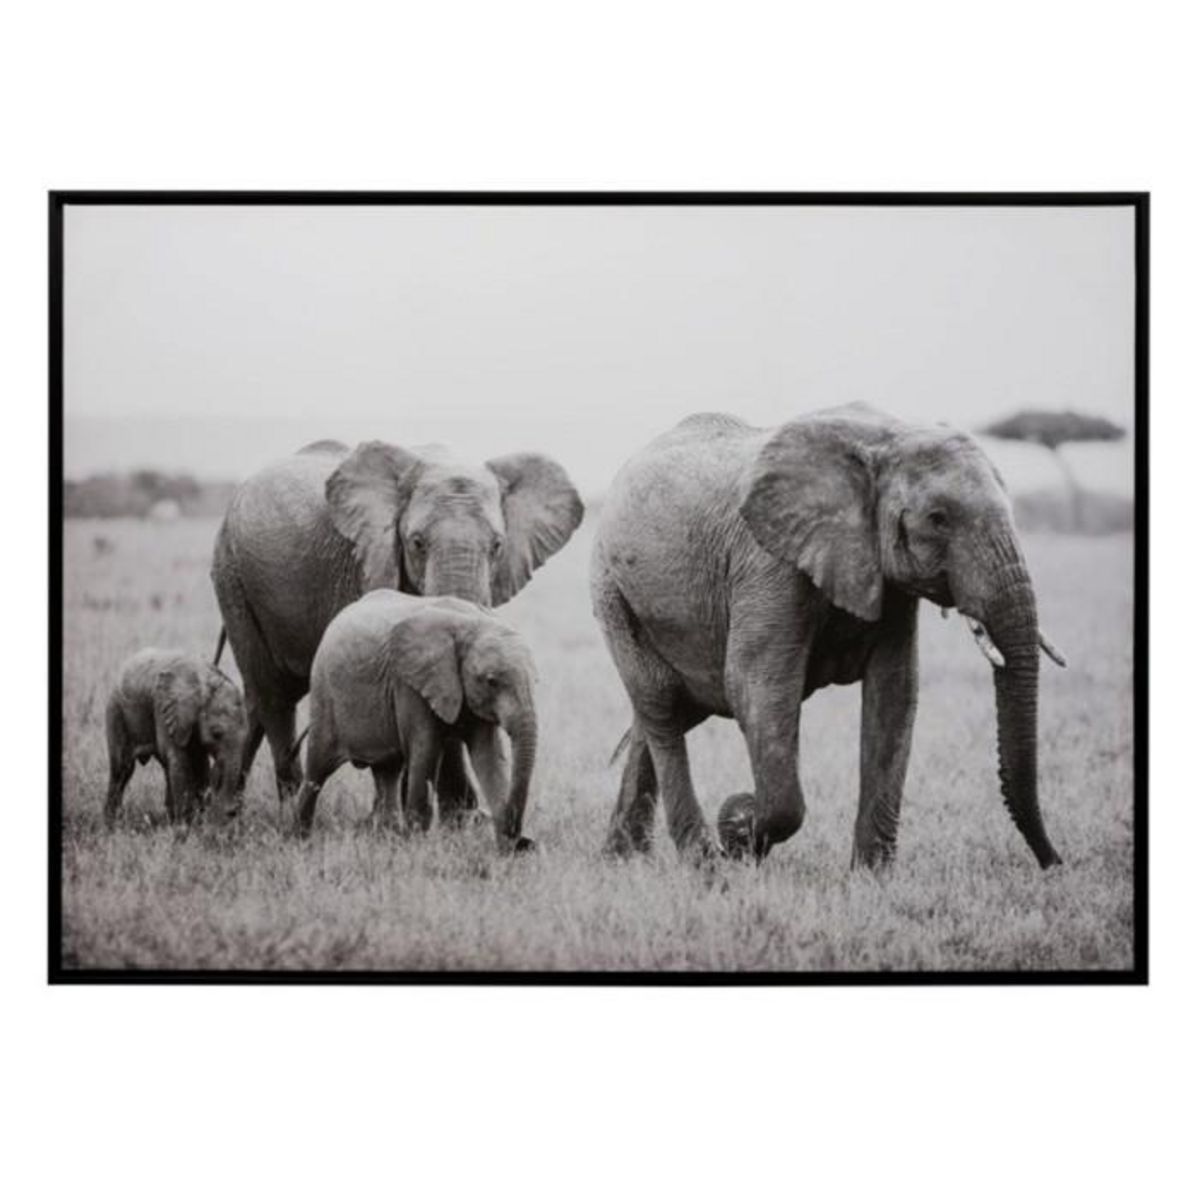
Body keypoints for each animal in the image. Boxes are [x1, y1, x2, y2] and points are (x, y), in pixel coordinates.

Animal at [104, 649, 248, 826]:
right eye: (216, 734)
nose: (232, 811)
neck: (204, 682)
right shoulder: (163, 709)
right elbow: (180, 762)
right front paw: (185, 826)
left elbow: (200, 765)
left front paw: (197, 823)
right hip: (116, 711)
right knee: (123, 769)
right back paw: (111, 824)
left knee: (163, 767)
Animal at [211, 438, 582, 817]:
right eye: (417, 543)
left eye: (497, 546)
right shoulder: (367, 561)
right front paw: (457, 817)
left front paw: (461, 816)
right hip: (233, 577)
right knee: (274, 697)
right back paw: (272, 806)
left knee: (260, 698)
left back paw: (223, 806)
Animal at [294, 590, 539, 852]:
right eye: (491, 681)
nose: (524, 841)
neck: (470, 623)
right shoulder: (410, 685)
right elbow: (425, 752)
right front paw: (418, 848)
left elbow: (489, 756)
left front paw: (506, 852)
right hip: (324, 694)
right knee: (316, 772)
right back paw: (299, 839)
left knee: (387, 772)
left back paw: (387, 839)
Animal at [591, 404, 1065, 868]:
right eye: (938, 519)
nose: (1054, 862)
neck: (887, 436)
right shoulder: (768, 562)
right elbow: (757, 685)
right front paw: (739, 829)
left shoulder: (882, 577)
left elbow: (895, 692)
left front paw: (872, 876)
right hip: (611, 589)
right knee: (662, 706)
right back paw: (700, 862)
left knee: (668, 711)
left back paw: (624, 857)